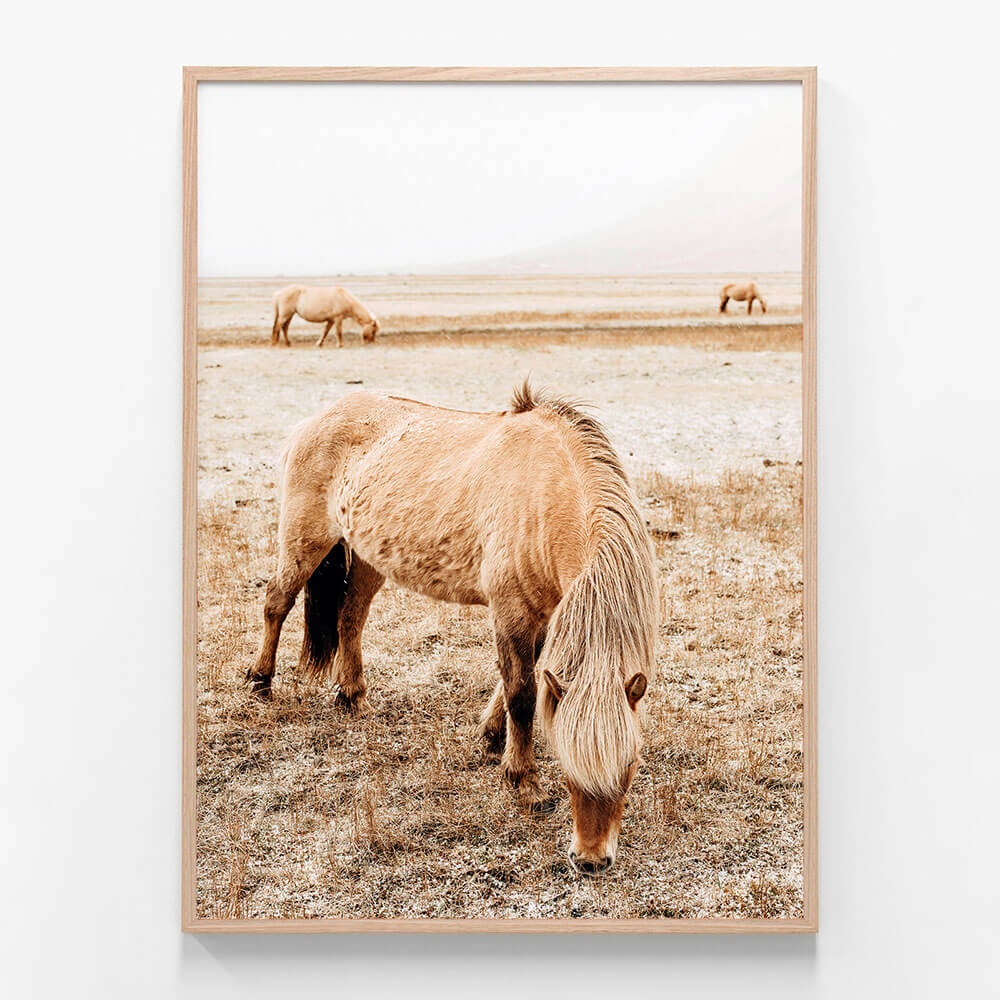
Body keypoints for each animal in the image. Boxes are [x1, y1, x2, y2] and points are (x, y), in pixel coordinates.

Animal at [247, 382, 659, 874]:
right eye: (565, 759)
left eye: (632, 764)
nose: (592, 859)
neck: (545, 494)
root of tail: (318, 419)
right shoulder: (511, 611)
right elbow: (521, 694)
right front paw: (524, 783)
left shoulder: (541, 613)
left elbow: (520, 681)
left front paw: (492, 737)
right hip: (304, 539)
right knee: (277, 602)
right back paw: (261, 681)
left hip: (366, 557)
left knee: (350, 619)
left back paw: (352, 697)